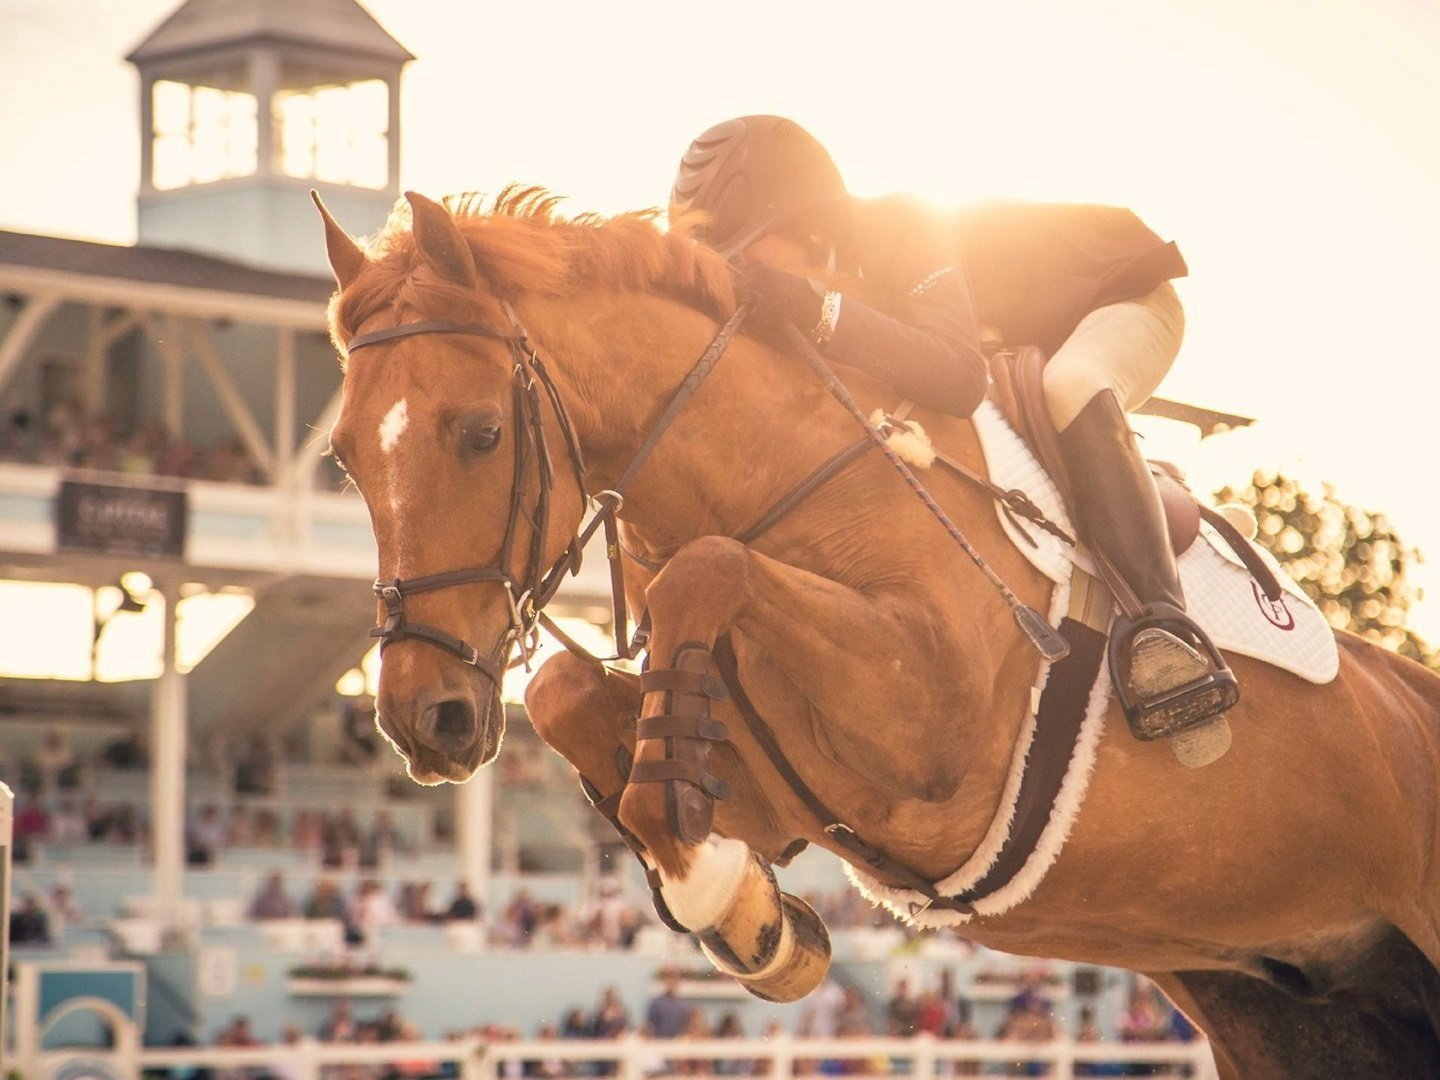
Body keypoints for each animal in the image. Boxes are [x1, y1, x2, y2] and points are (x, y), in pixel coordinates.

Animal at [318, 190, 1440, 1077]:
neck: (782, 471)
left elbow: (705, 567)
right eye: (343, 460)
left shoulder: (931, 729)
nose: (426, 719)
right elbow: (567, 692)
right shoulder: (784, 789)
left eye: (480, 433)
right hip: (1294, 1006)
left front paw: (719, 892)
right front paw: (746, 910)